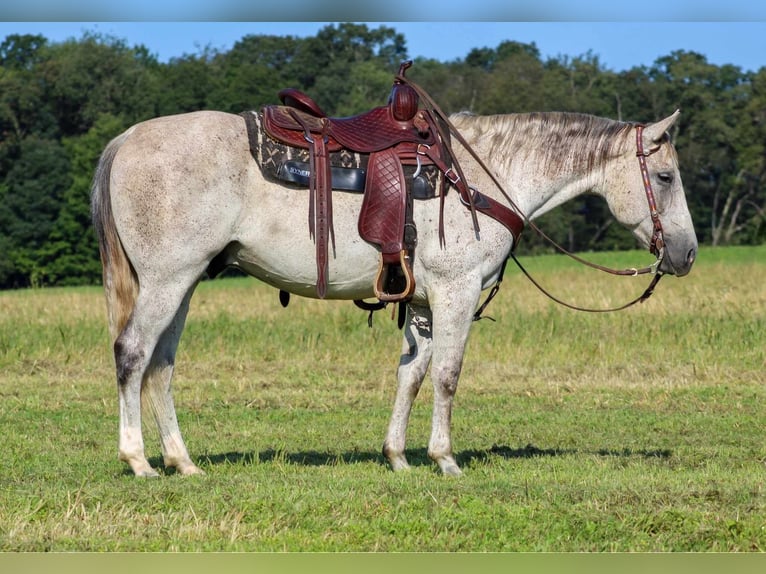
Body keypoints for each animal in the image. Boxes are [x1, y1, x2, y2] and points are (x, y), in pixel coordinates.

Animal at [91, 106, 704, 480]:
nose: (687, 254)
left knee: (162, 365)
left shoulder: (426, 304)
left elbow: (410, 375)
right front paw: (445, 459)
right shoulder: (457, 294)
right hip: (168, 282)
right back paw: (138, 460)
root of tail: (128, 138)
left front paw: (397, 456)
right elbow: (447, 376)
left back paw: (182, 461)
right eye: (666, 177)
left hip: (183, 284)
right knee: (134, 354)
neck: (480, 178)